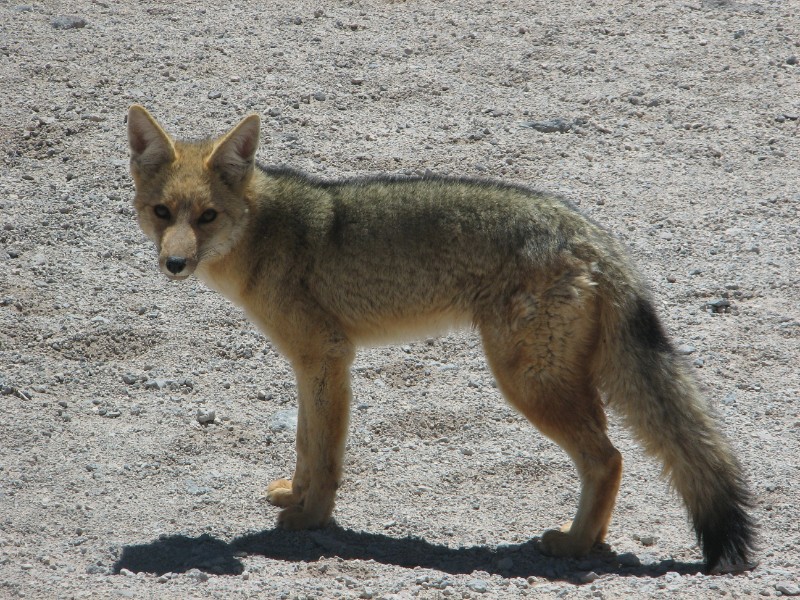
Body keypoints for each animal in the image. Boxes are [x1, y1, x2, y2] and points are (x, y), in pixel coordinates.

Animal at [126, 104, 755, 572]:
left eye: (207, 217)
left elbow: (324, 453)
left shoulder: (328, 356)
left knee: (609, 457)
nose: (174, 264)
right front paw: (295, 496)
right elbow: (305, 442)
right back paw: (591, 539)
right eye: (162, 213)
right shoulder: (310, 364)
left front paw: (312, 520)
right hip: (558, 379)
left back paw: (574, 545)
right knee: (612, 454)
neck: (264, 232)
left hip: (527, 382)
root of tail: (588, 230)